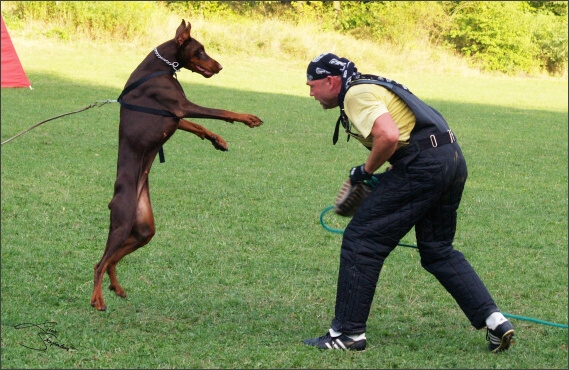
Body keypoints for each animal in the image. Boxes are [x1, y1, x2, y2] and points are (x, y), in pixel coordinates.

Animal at [90, 18, 262, 310]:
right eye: (201, 50)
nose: (220, 67)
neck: (159, 68)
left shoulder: (175, 115)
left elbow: (197, 126)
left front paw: (217, 140)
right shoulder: (181, 105)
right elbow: (220, 112)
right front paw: (247, 118)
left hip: (143, 229)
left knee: (112, 260)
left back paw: (116, 287)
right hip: (122, 221)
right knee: (100, 263)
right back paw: (98, 298)